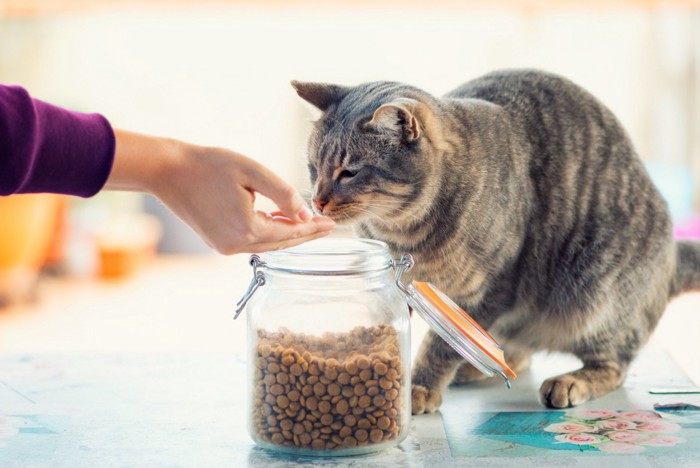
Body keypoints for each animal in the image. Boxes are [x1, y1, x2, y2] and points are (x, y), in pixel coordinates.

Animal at [292, 67, 700, 412]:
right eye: (313, 167)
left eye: (349, 172)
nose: (318, 201)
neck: (403, 233)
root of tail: (673, 256)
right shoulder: (404, 288)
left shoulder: (491, 289)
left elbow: (439, 346)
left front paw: (420, 386)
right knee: (517, 350)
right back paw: (476, 367)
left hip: (599, 291)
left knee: (614, 364)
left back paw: (569, 381)